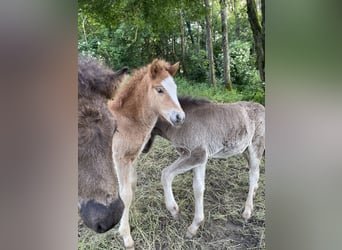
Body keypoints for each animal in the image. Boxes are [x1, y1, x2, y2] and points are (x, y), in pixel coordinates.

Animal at [143, 95, 266, 238]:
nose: (143, 150)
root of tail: (262, 107)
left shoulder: (197, 155)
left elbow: (166, 174)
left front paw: (175, 211)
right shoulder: (198, 158)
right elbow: (198, 188)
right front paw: (195, 226)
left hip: (256, 147)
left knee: (254, 174)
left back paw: (247, 211)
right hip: (244, 149)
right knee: (254, 172)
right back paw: (254, 192)